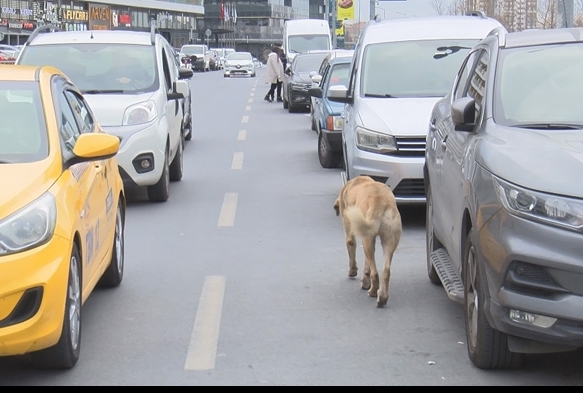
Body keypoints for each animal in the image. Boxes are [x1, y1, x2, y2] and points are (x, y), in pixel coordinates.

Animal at [336, 175, 404, 306]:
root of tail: (380, 202)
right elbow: (367, 264)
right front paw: (365, 280)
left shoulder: (351, 233)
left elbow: (351, 247)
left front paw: (353, 271)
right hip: (388, 240)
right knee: (385, 271)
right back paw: (382, 297)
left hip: (366, 239)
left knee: (375, 273)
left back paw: (373, 291)